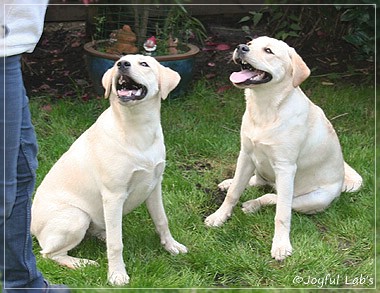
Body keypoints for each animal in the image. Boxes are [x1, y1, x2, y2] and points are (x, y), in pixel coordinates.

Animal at [30, 53, 187, 284]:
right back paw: (83, 263)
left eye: (144, 64)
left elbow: (161, 220)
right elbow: (116, 244)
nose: (122, 64)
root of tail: (30, 226)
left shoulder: (154, 185)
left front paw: (171, 246)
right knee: (49, 254)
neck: (137, 128)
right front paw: (117, 274)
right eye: (117, 62)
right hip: (77, 216)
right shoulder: (114, 196)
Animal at [205, 36, 362, 260]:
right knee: (257, 183)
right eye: (250, 44)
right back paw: (230, 183)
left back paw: (252, 204)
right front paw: (219, 216)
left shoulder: (286, 168)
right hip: (258, 165)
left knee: (276, 197)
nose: (241, 47)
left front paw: (280, 245)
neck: (265, 109)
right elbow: (234, 192)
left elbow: (282, 213)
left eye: (268, 51)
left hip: (314, 199)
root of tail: (342, 184)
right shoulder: (246, 154)